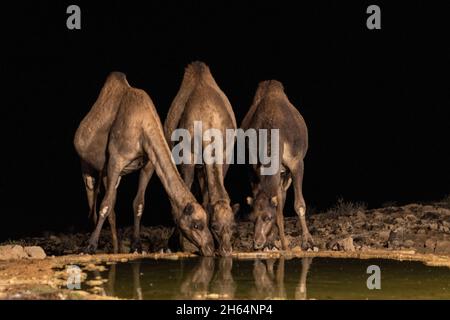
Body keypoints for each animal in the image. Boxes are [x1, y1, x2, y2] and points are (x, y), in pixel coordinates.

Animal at [74, 72, 214, 255]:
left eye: (206, 222)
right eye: (197, 225)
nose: (210, 247)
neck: (143, 127)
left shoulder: (148, 165)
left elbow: (138, 204)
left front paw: (136, 246)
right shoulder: (116, 161)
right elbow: (104, 205)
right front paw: (90, 246)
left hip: (108, 173)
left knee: (111, 204)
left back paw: (116, 248)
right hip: (87, 165)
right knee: (93, 201)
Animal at [163, 62, 239, 256]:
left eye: (233, 226)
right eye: (214, 226)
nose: (226, 250)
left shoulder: (225, 156)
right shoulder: (187, 156)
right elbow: (187, 190)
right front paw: (179, 243)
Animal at [243, 79, 312, 250]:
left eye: (268, 217)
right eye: (251, 218)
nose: (257, 243)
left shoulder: (296, 163)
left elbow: (298, 205)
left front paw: (307, 242)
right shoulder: (254, 169)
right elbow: (278, 206)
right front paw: (275, 242)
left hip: (286, 173)